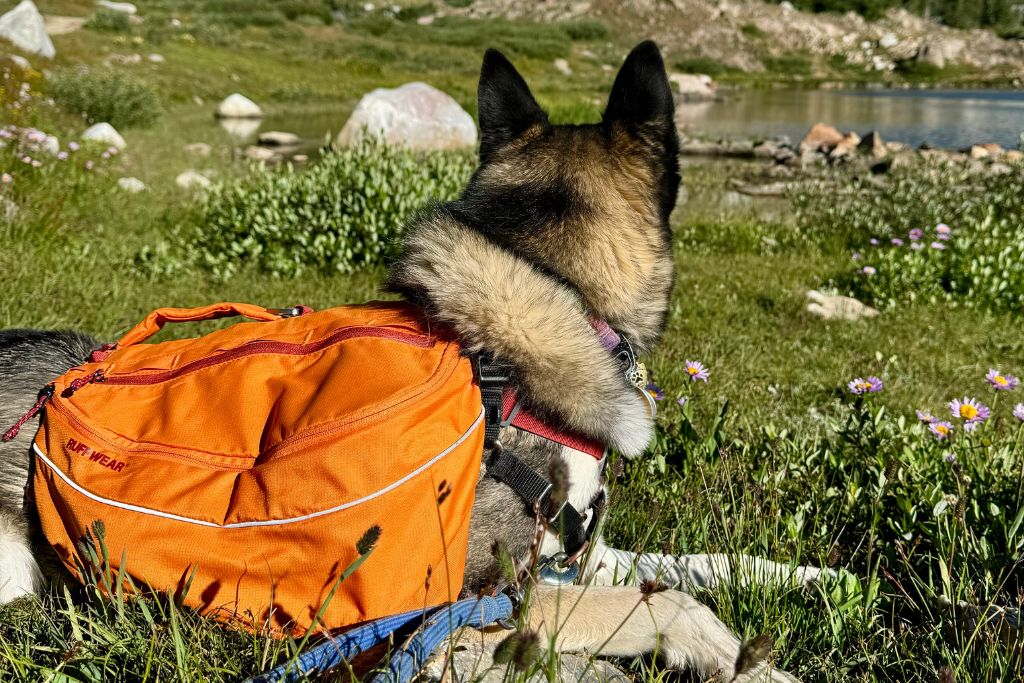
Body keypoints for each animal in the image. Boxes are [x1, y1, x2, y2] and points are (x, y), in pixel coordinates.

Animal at [0, 41, 823, 679]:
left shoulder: (572, 555)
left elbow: (698, 565)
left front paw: (815, 575)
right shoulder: (490, 602)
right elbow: (672, 603)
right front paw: (747, 660)